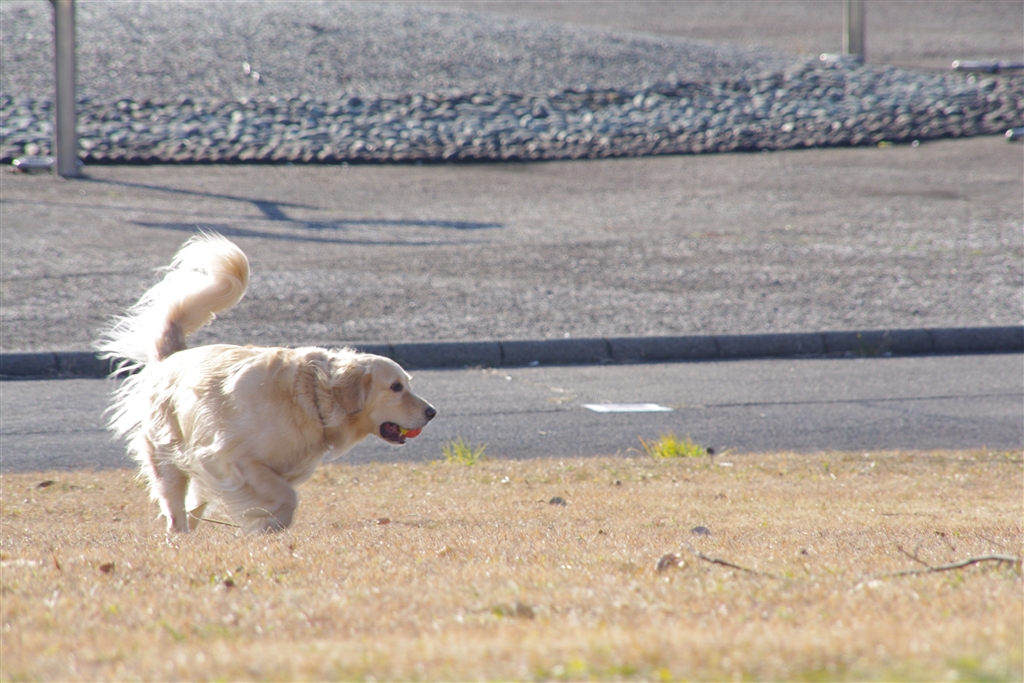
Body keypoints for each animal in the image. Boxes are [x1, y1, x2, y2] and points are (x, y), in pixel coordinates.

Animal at [96, 233, 436, 534]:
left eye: (407, 383)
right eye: (396, 387)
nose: (432, 412)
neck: (310, 398)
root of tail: (171, 356)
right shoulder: (228, 458)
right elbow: (285, 496)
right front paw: (268, 525)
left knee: (193, 507)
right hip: (167, 454)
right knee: (176, 508)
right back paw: (179, 536)